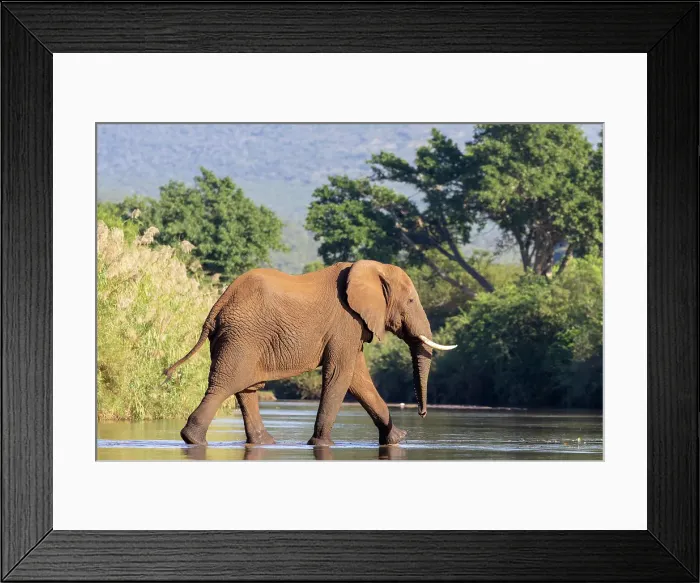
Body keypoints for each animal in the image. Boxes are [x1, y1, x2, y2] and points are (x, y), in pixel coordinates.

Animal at [164, 260, 456, 447]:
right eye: (411, 301)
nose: (422, 414)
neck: (373, 268)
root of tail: (217, 305)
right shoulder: (345, 322)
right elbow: (340, 375)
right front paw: (322, 443)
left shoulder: (352, 326)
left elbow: (358, 378)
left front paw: (397, 439)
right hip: (242, 337)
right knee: (225, 385)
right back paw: (193, 439)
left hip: (240, 338)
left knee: (246, 388)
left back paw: (266, 443)